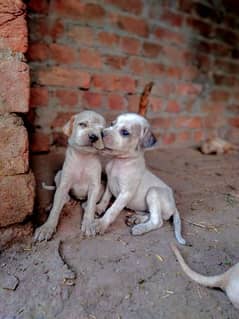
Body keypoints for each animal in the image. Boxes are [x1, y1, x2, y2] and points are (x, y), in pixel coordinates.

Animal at [34, 110, 105, 242]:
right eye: (82, 124)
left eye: (102, 132)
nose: (94, 137)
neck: (83, 156)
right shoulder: (64, 183)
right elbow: (55, 209)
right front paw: (46, 228)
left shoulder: (95, 185)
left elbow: (91, 206)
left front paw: (88, 224)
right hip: (59, 175)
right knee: (61, 197)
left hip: (102, 186)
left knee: (89, 202)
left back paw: (84, 204)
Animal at [94, 112, 186, 245]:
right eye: (112, 124)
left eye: (125, 132)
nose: (101, 133)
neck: (119, 162)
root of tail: (174, 207)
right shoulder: (110, 184)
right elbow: (105, 199)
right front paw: (99, 208)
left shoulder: (126, 193)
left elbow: (113, 209)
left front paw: (101, 224)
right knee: (150, 214)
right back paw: (136, 219)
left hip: (153, 192)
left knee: (158, 221)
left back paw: (140, 228)